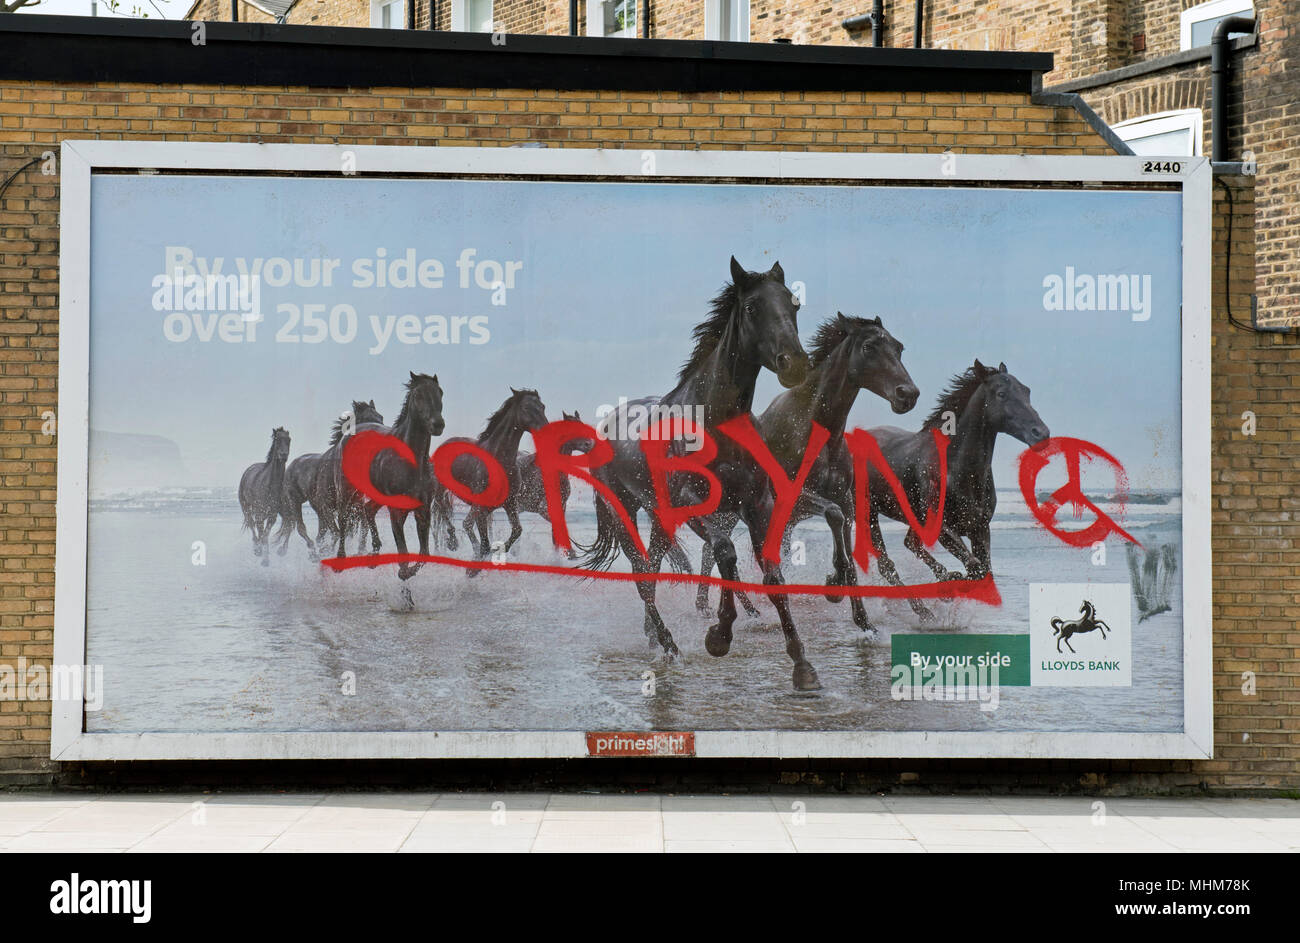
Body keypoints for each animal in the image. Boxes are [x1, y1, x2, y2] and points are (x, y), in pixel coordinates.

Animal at [239, 429, 292, 567]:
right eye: (277, 440)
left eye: (289, 440)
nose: (283, 455)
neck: (271, 485)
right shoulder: (259, 514)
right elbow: (262, 534)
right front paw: (262, 556)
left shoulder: (273, 515)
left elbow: (266, 534)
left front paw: (267, 557)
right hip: (246, 508)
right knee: (251, 524)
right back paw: (257, 548)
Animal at [585, 257, 816, 691]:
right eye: (751, 308)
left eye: (794, 304)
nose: (795, 364)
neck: (715, 421)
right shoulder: (696, 506)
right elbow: (725, 553)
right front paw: (719, 637)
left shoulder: (756, 505)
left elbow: (772, 575)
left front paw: (803, 666)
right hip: (625, 511)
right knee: (641, 576)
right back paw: (670, 646)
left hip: (660, 517)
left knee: (652, 572)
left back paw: (654, 638)